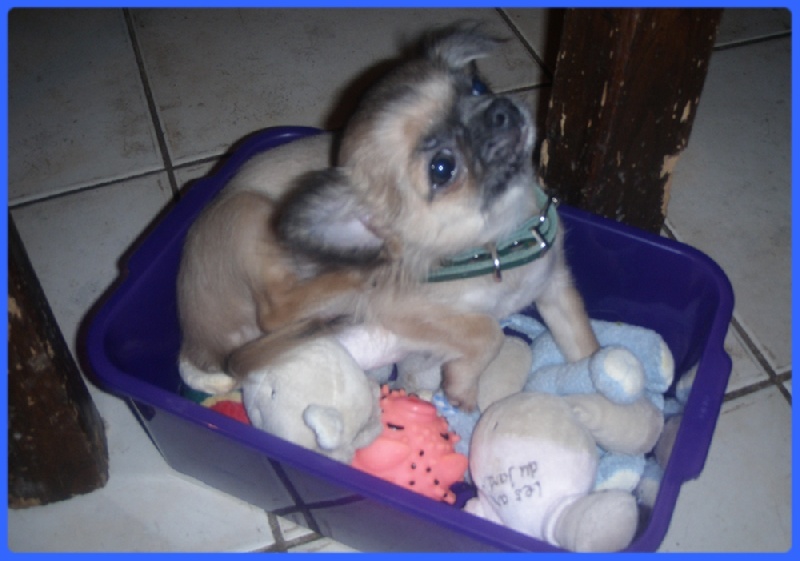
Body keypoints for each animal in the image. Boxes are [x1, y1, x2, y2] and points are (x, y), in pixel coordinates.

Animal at [177, 24, 598, 411]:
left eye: (477, 88)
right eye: (442, 168)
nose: (501, 112)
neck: (505, 239)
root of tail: (196, 344)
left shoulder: (555, 289)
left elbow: (585, 346)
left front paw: (600, 391)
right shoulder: (408, 310)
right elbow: (487, 331)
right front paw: (462, 387)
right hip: (250, 211)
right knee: (276, 311)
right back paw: (359, 274)